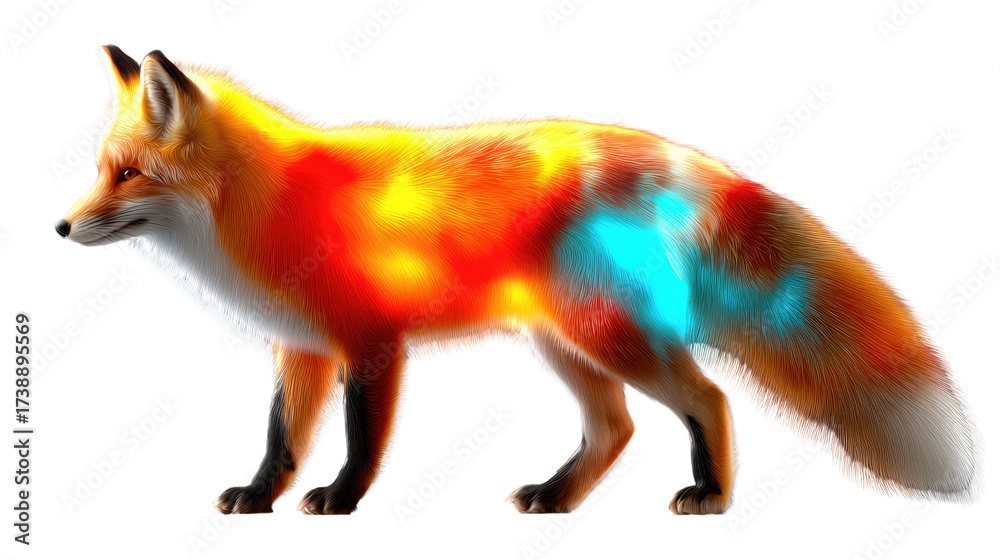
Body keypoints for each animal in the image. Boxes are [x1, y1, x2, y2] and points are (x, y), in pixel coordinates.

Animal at [57, 46, 976, 516]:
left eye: (129, 175)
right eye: (98, 171)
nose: (59, 230)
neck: (263, 207)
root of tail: (670, 155)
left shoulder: (370, 343)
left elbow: (358, 442)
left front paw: (342, 500)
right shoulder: (302, 348)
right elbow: (280, 439)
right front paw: (259, 496)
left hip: (607, 335)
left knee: (706, 398)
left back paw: (711, 496)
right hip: (566, 345)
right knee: (615, 429)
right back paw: (558, 499)